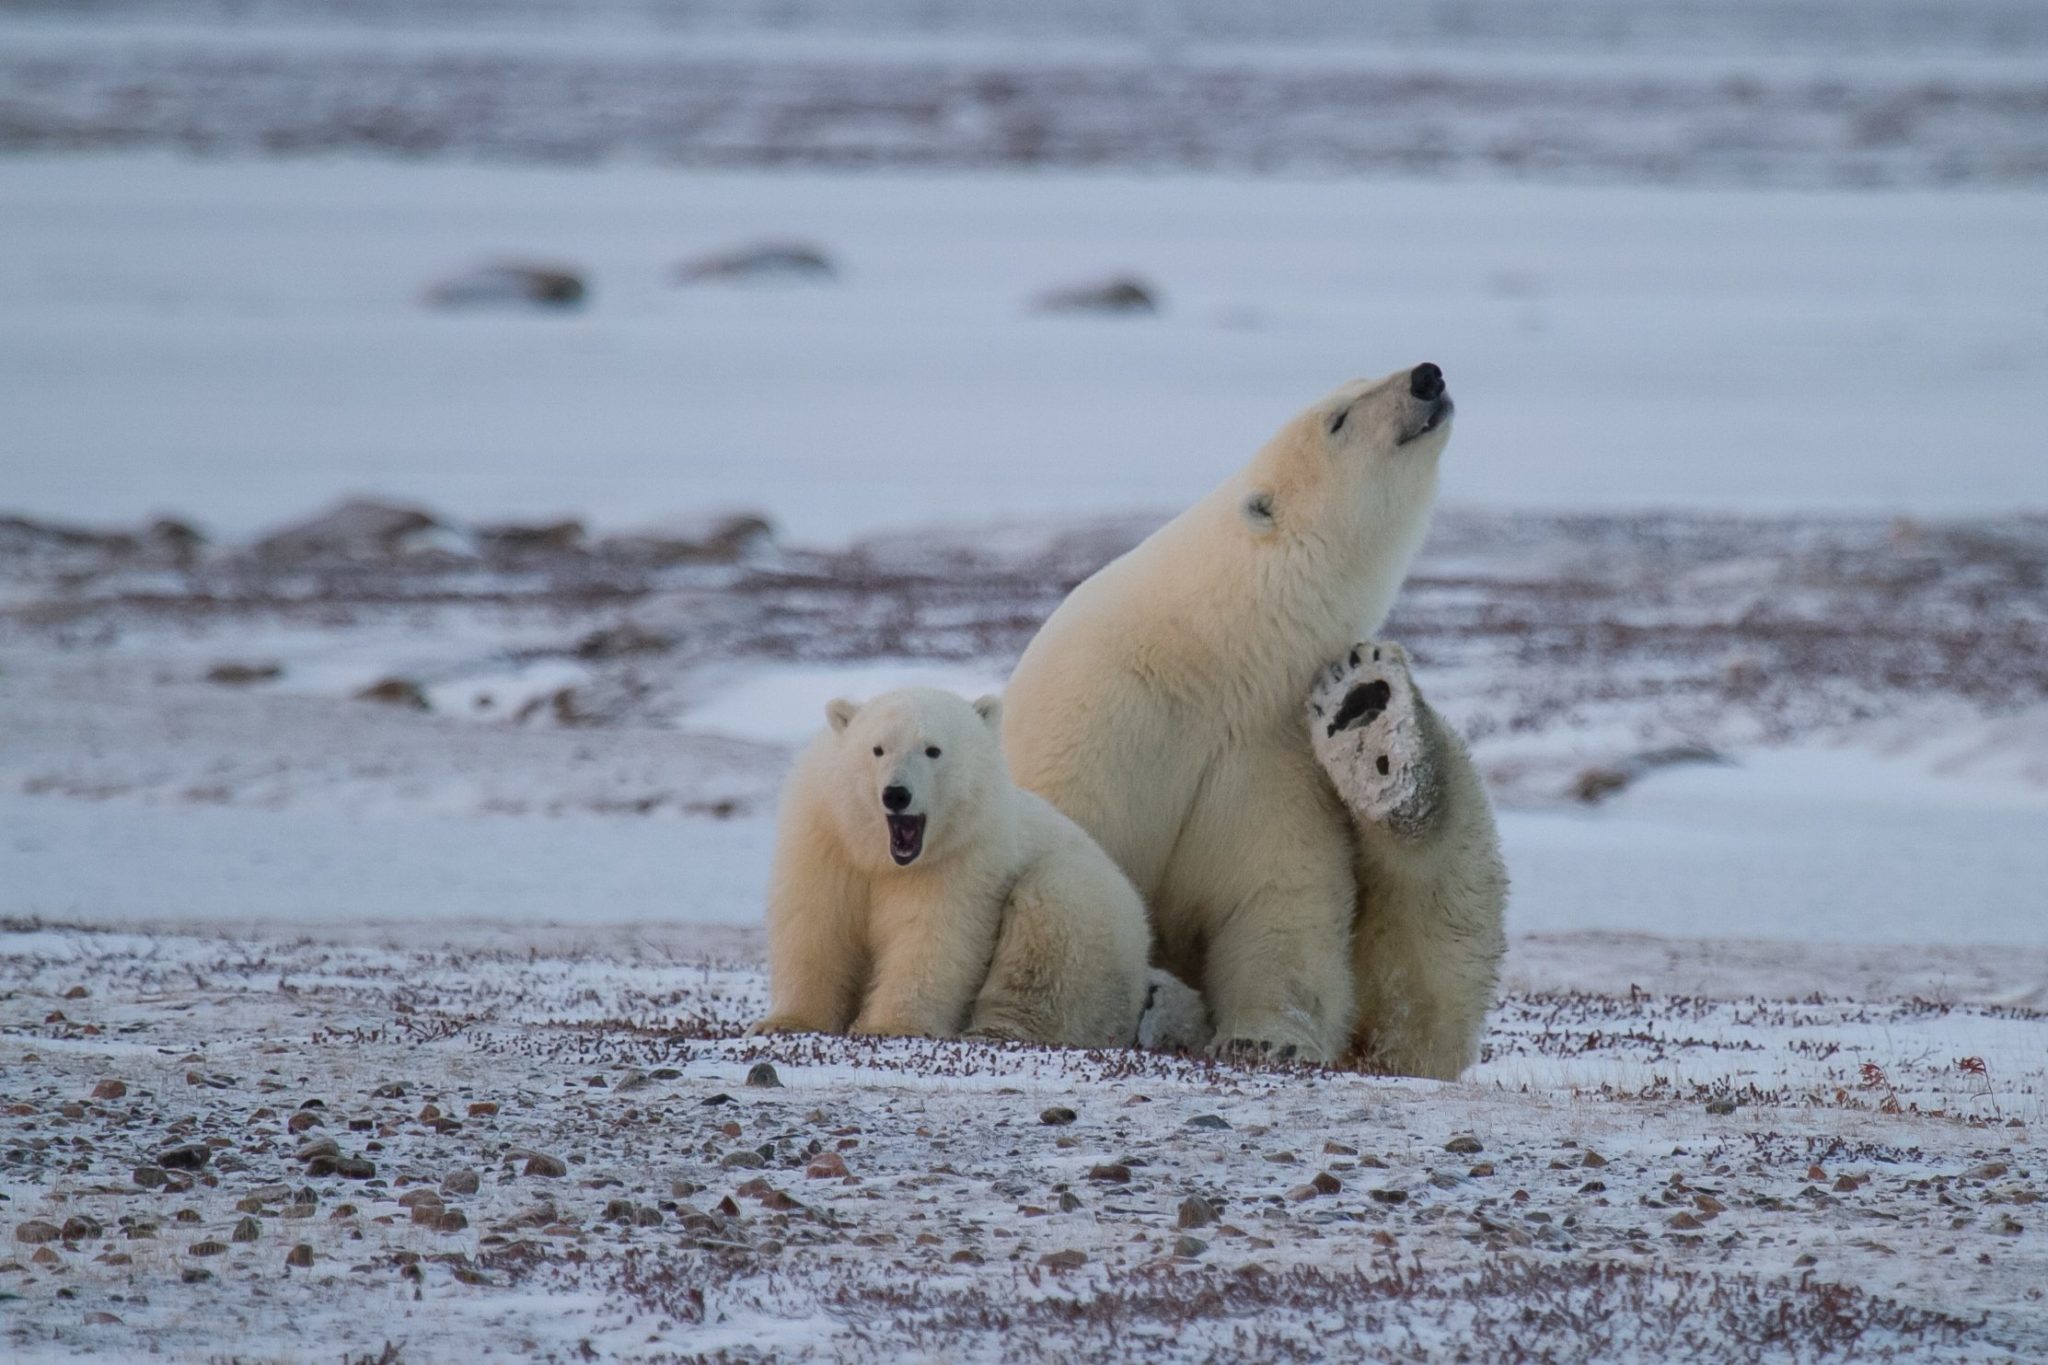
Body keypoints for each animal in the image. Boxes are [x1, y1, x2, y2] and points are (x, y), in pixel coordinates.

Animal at [753, 687, 1163, 1055]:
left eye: (932, 749)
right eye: (877, 749)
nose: (896, 794)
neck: (880, 856)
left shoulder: (958, 857)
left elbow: (933, 935)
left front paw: (891, 1026)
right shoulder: (826, 839)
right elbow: (816, 924)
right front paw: (786, 1022)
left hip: (1096, 931)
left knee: (1050, 920)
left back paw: (994, 1030)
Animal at [1003, 362, 1507, 1080]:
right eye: (1339, 417)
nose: (1426, 376)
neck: (1207, 651)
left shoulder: (1266, 750)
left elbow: (1275, 896)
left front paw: (1265, 1039)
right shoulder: (1093, 722)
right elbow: (1073, 865)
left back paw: (1374, 725)